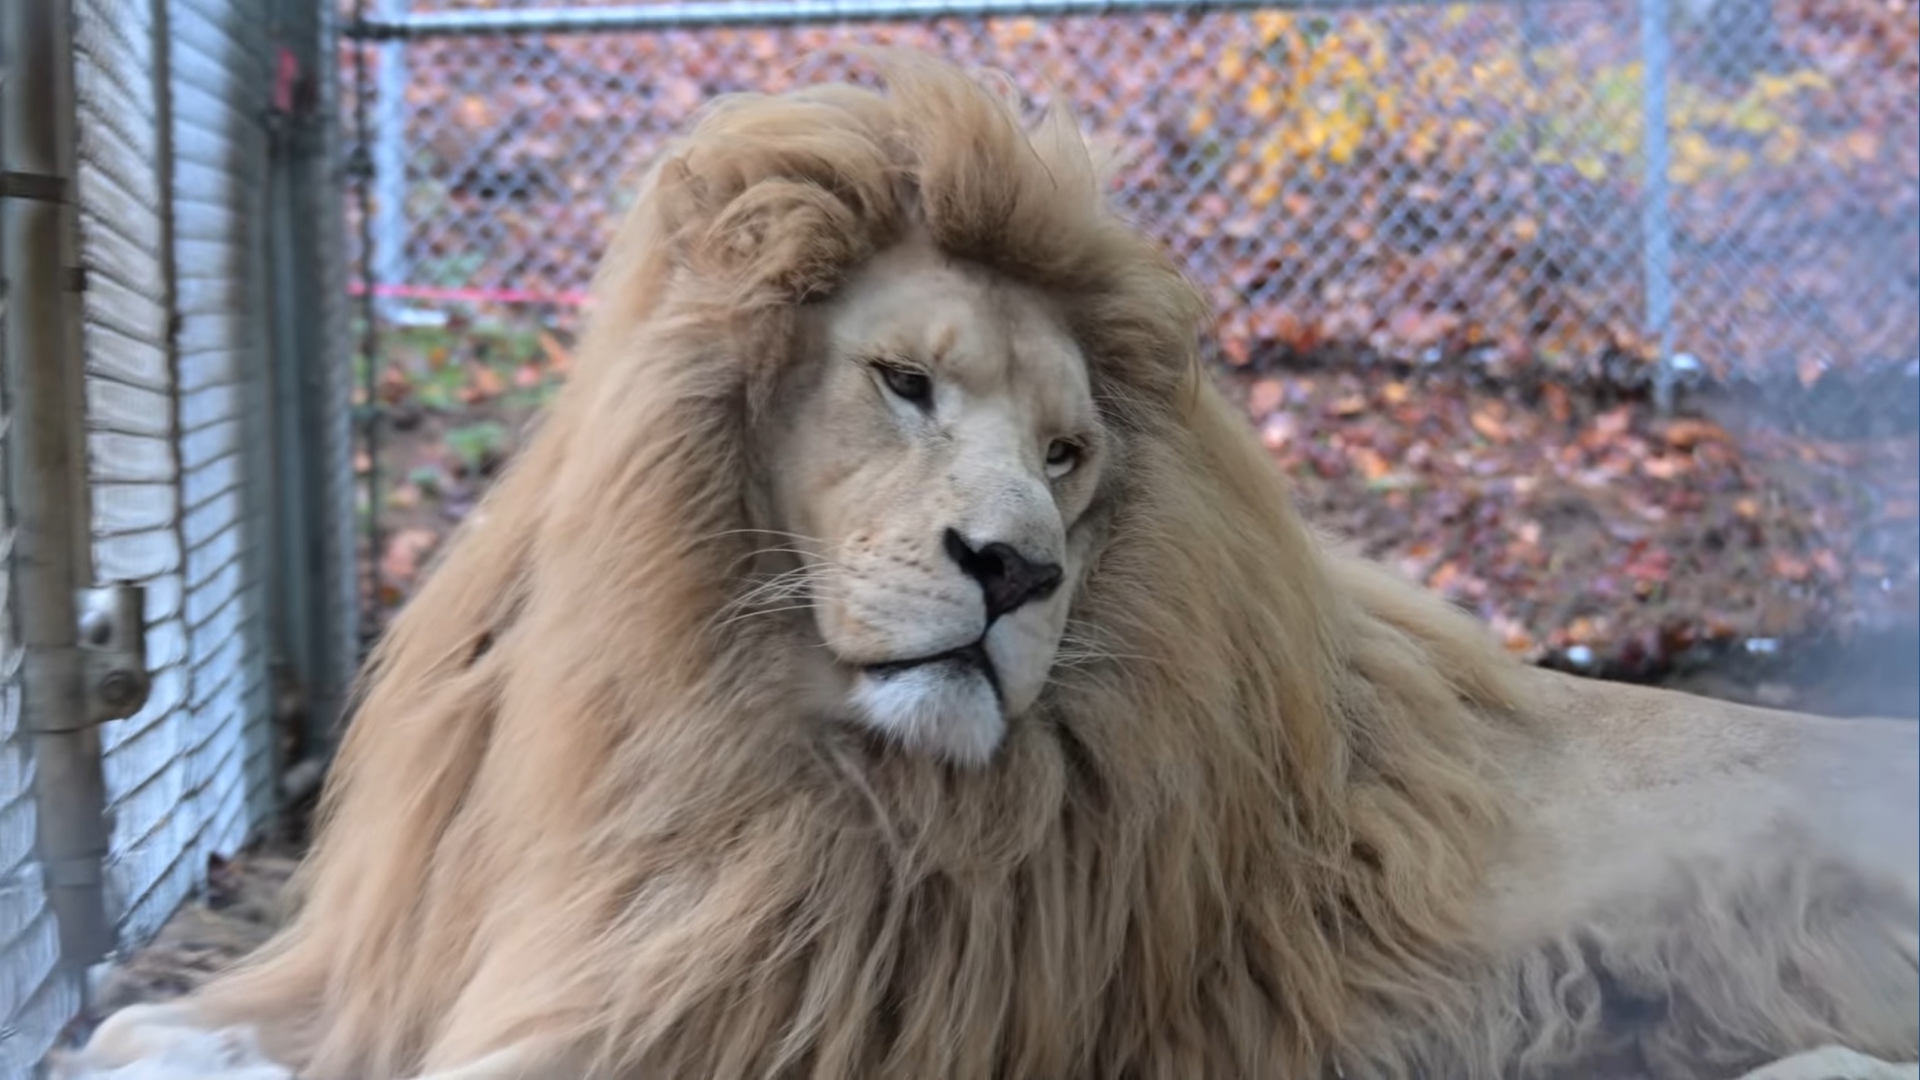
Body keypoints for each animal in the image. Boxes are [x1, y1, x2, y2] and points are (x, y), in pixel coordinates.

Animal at [54, 53, 1918, 1080]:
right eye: (902, 383)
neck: (711, 718)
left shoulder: (755, 1015)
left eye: (1071, 456)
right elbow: (180, 1028)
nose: (1013, 571)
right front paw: (147, 1038)